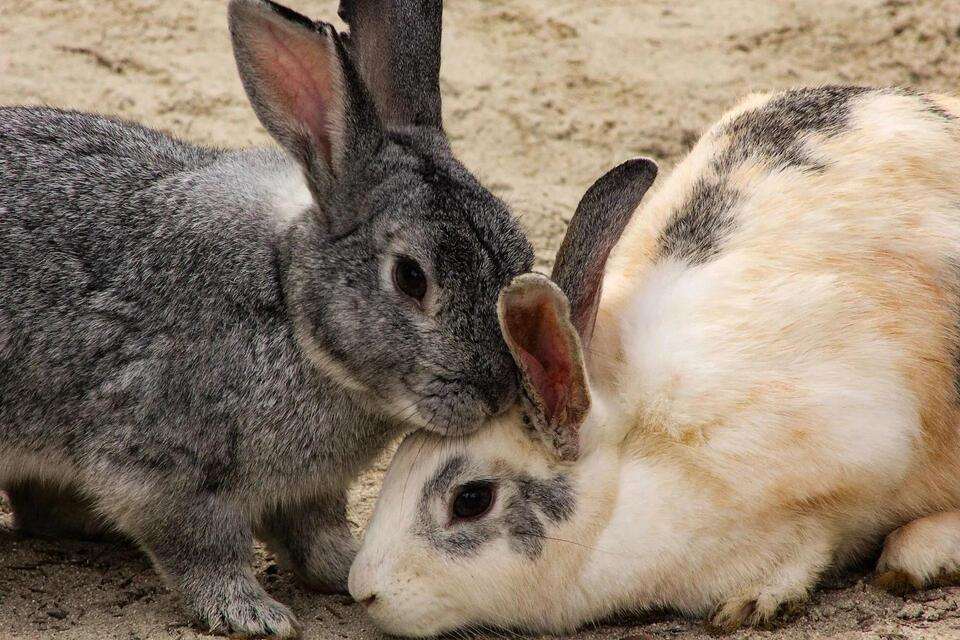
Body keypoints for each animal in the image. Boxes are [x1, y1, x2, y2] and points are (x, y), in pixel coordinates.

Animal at [0, 0, 534, 636]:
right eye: (411, 278)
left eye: (521, 254)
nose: (499, 392)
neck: (290, 307)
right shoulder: (164, 469)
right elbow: (202, 549)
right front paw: (252, 613)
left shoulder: (310, 492)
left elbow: (314, 537)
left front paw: (347, 570)